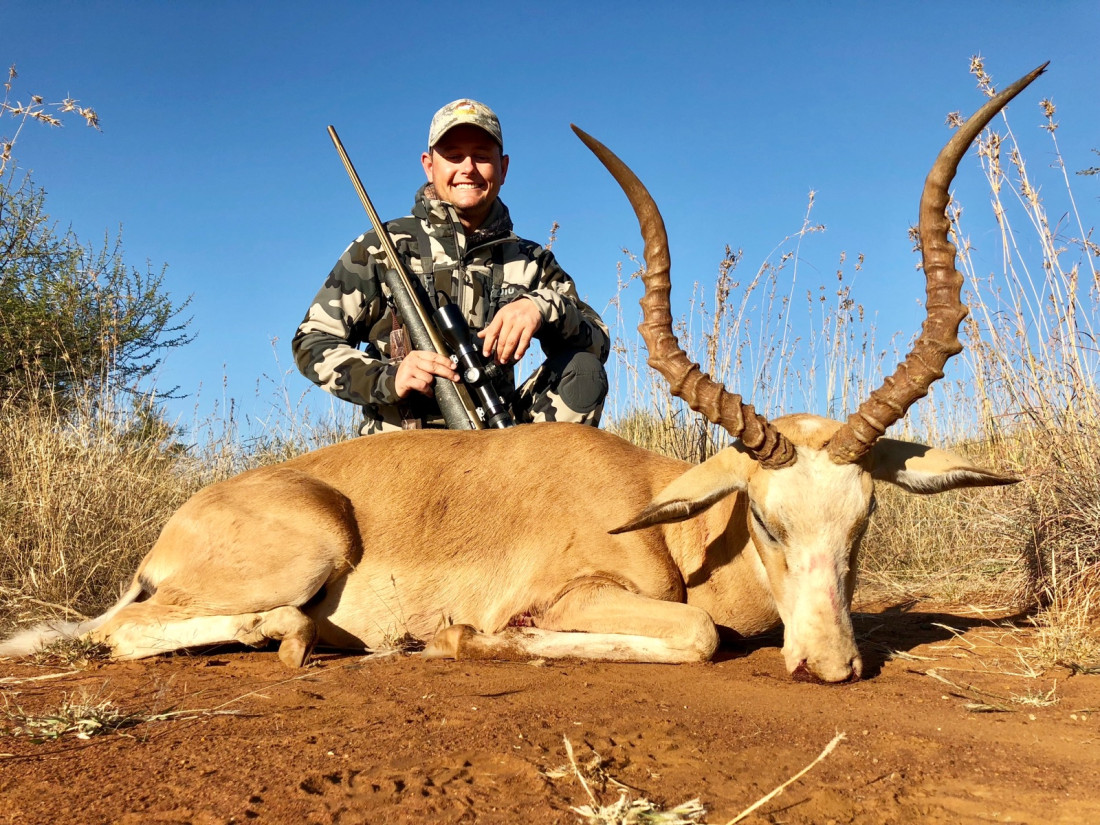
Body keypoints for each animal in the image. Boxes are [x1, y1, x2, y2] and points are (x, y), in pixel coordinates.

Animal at [0, 64, 1038, 686]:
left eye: (863, 523)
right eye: (769, 521)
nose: (830, 666)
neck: (668, 519)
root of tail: (176, 526)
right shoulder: (582, 592)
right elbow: (695, 635)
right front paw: (472, 636)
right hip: (310, 546)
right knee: (121, 631)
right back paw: (293, 635)